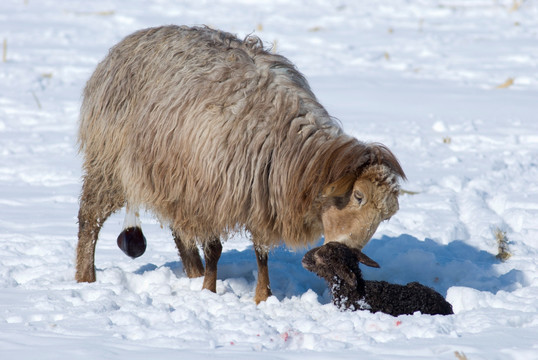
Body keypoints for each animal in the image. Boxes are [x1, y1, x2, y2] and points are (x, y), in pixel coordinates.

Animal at [73, 23, 404, 302]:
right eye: (358, 196)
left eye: (386, 216)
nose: (349, 254)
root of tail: (130, 40)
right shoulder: (210, 191)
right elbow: (215, 248)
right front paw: (209, 291)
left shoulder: (259, 194)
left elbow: (261, 252)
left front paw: (262, 297)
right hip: (110, 162)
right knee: (90, 218)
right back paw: (85, 278)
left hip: (171, 176)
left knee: (180, 230)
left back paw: (193, 272)